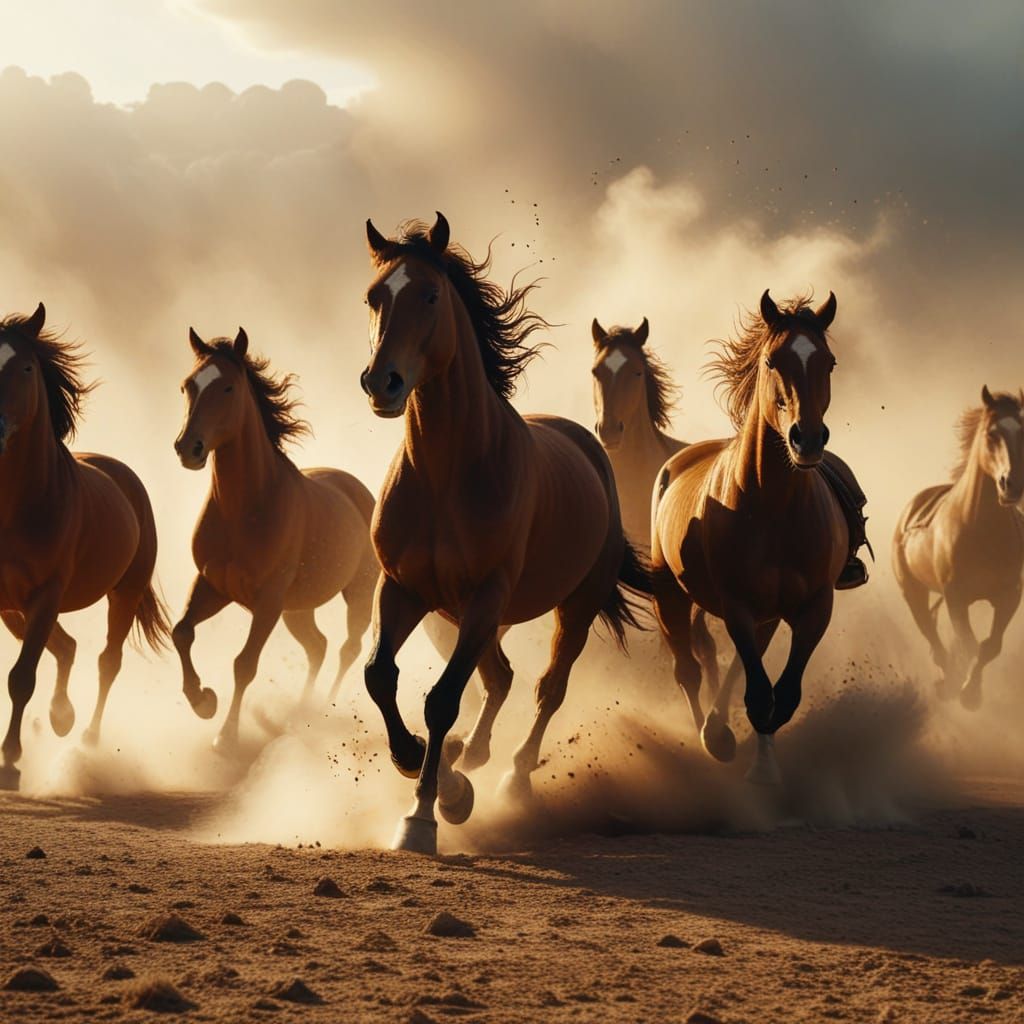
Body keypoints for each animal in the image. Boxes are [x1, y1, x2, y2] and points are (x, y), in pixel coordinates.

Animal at [0, 304, 170, 789]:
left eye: (26, 367)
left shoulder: (47, 594)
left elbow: (21, 677)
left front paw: (10, 762)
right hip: (13, 610)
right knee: (67, 647)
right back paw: (62, 718)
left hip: (124, 593)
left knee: (106, 661)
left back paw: (86, 740)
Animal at [172, 327, 377, 752]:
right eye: (187, 386)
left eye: (228, 387)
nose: (188, 448)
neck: (244, 509)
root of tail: (359, 491)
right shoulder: (212, 586)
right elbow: (181, 632)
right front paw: (203, 701)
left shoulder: (267, 600)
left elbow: (244, 664)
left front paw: (225, 737)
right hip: (297, 610)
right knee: (318, 646)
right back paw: (298, 714)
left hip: (357, 594)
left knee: (347, 648)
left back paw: (322, 710)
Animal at [359, 212, 649, 854]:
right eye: (374, 296)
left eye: (430, 294)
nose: (381, 383)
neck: (445, 474)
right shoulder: (402, 590)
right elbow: (379, 676)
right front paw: (422, 763)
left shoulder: (487, 594)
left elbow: (442, 700)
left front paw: (426, 813)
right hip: (466, 613)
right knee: (501, 677)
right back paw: (470, 757)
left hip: (570, 605)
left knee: (546, 687)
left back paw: (511, 780)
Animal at [651, 290, 856, 784]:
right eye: (771, 361)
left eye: (829, 362)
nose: (807, 440)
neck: (775, 508)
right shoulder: (738, 606)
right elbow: (760, 693)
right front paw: (723, 745)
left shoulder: (814, 607)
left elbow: (781, 694)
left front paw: (765, 768)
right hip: (669, 594)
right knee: (687, 670)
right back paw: (707, 736)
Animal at [892, 387, 1024, 709]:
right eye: (992, 433)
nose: (1012, 485)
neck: (982, 529)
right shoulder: (956, 598)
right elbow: (970, 644)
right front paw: (966, 690)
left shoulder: (1010, 596)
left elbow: (990, 646)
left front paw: (971, 691)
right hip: (912, 592)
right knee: (929, 632)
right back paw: (948, 680)